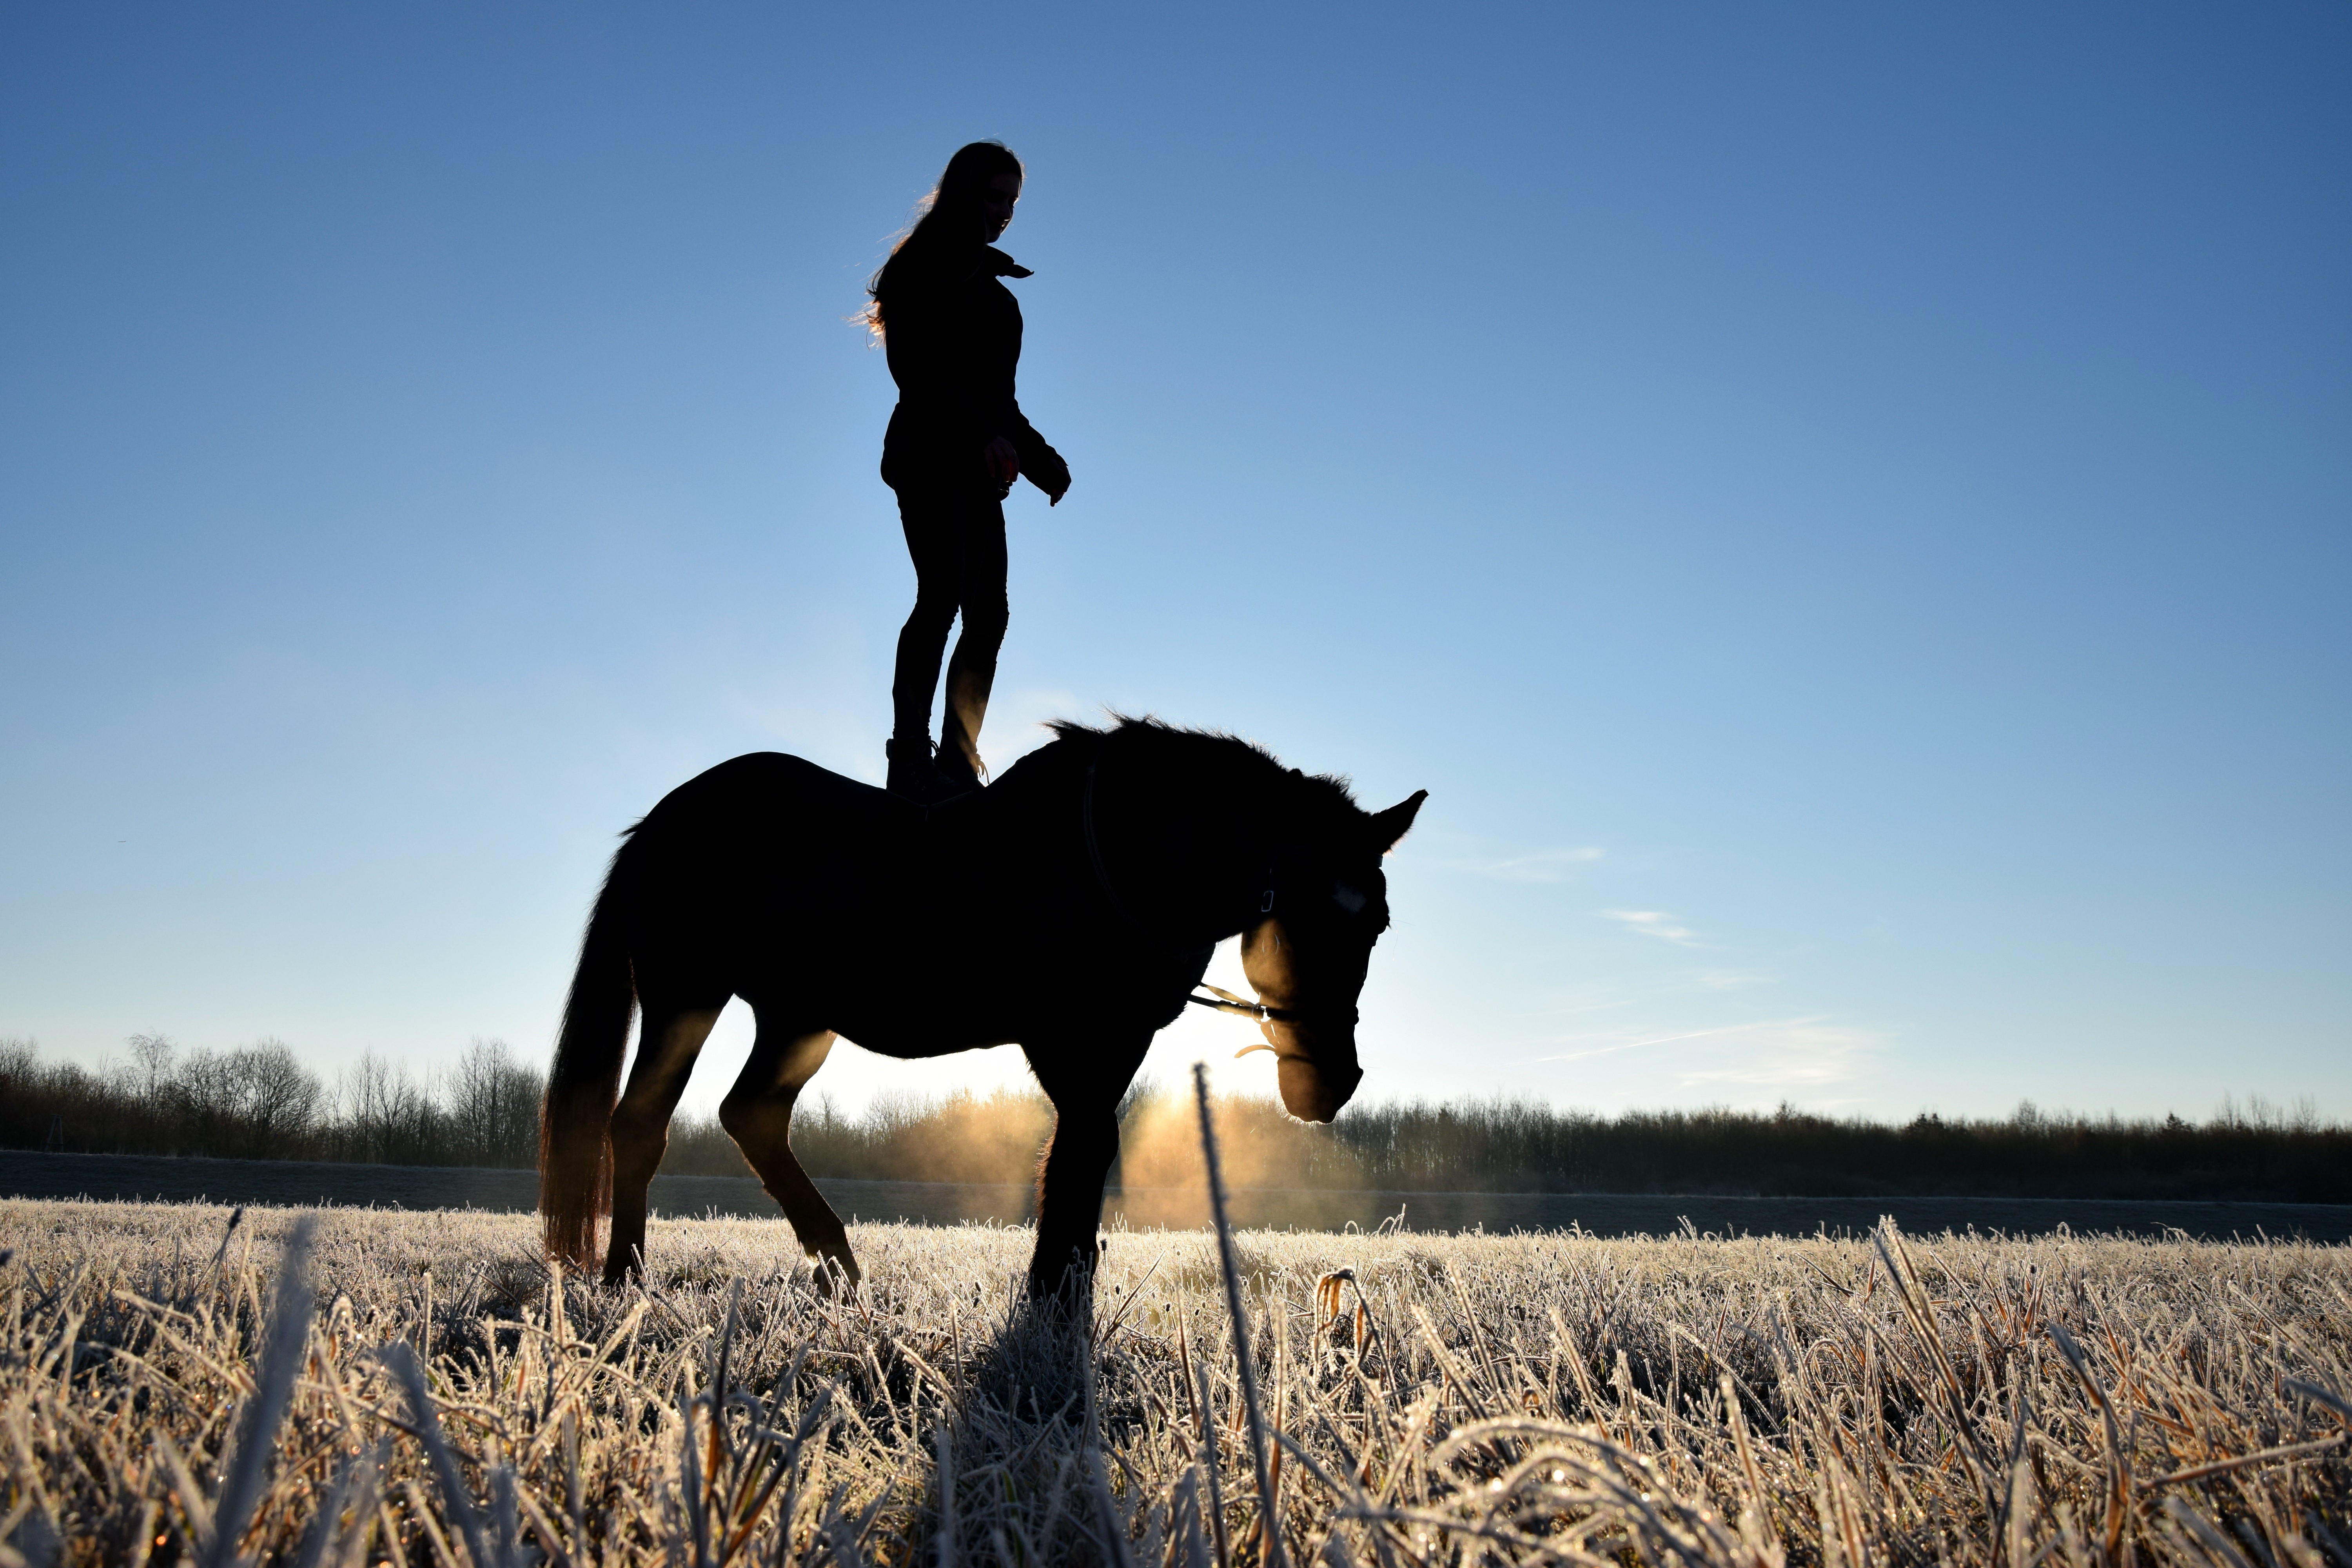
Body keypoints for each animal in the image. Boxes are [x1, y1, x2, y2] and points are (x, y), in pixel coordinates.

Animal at [537, 717, 1425, 1301]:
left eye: (1378, 921)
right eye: (1296, 911)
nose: (1333, 1081)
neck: (1120, 857)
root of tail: (659, 823)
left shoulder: (1118, 1039)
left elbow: (1090, 1151)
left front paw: (1064, 1280)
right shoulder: (1068, 1036)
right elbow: (1080, 1151)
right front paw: (1052, 1294)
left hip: (798, 1018)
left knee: (750, 1113)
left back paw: (838, 1263)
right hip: (688, 994)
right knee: (641, 1120)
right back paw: (626, 1276)